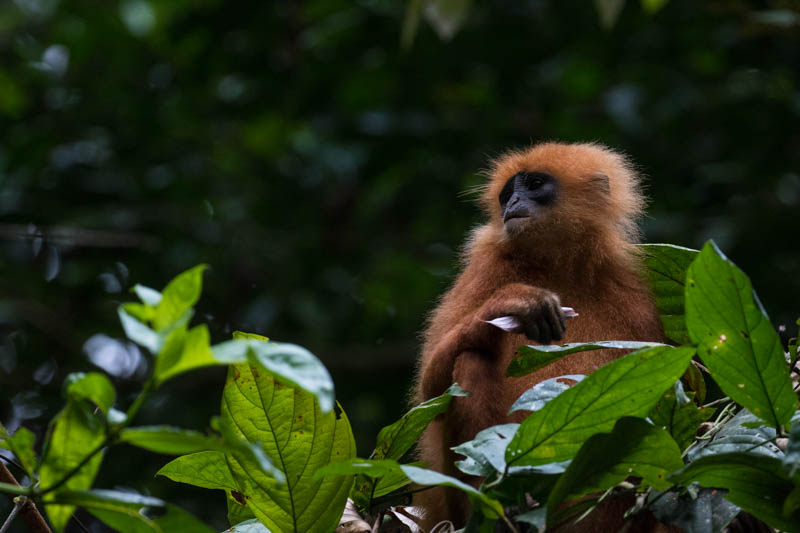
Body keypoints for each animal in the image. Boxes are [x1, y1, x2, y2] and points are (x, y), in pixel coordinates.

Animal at [412, 141, 668, 528]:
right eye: (507, 194)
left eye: (534, 184)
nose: (513, 203)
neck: (555, 267)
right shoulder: (485, 267)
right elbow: (430, 394)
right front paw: (512, 302)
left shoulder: (630, 290)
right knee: (468, 360)